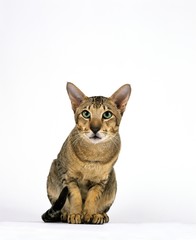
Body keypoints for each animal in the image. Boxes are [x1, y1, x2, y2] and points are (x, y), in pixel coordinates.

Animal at [41, 83, 131, 225]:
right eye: (86, 113)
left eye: (107, 115)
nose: (95, 128)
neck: (93, 153)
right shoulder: (68, 177)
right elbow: (75, 196)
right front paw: (75, 214)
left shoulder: (101, 181)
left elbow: (92, 198)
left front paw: (89, 214)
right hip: (53, 169)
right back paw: (65, 214)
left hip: (113, 180)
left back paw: (100, 215)